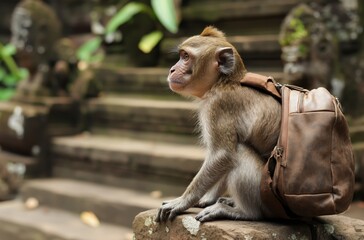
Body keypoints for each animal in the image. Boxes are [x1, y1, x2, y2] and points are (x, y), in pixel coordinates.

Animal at [156, 26, 282, 223]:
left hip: (268, 199)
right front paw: (208, 198)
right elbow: (221, 160)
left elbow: (222, 155)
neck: (222, 82)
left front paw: (182, 201)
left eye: (186, 57)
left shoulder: (217, 106)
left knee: (240, 151)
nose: (172, 69)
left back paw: (244, 212)